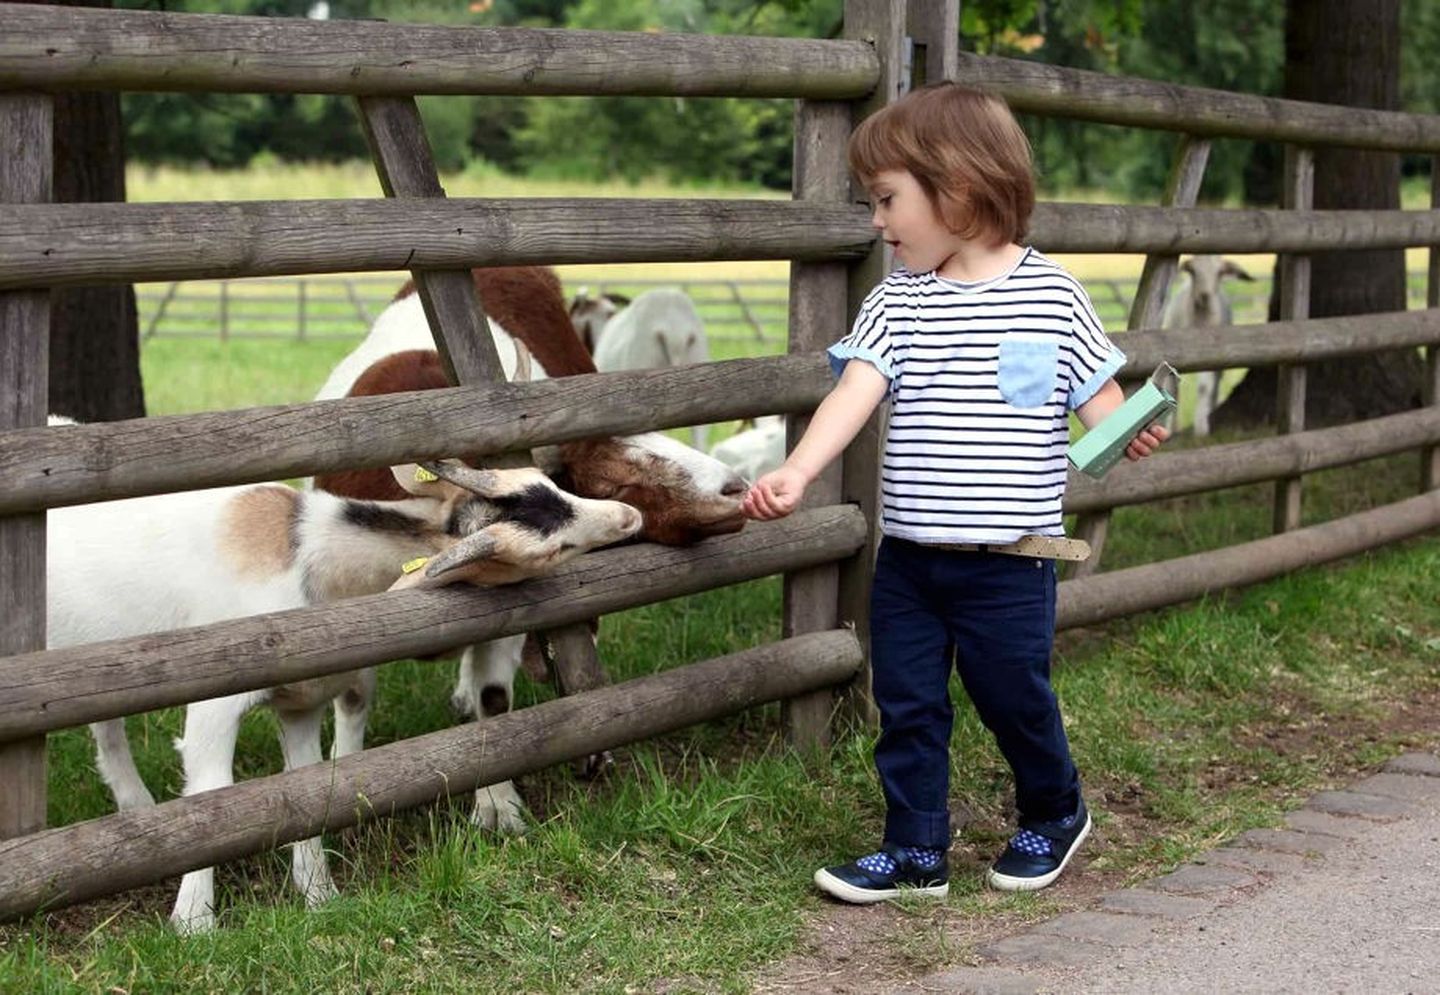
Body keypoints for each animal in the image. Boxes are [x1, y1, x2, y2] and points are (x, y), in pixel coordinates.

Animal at [311, 264, 748, 835]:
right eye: (610, 483)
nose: (736, 488)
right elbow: (352, 697)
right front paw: (346, 775)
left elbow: (493, 696)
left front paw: (497, 803)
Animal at [1157, 254, 1249, 434]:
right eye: (1193, 271)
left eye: (1220, 272)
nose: (1205, 296)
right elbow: (1173, 389)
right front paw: (1171, 428)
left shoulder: (1211, 356)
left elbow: (1204, 387)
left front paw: (1201, 428)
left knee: (1214, 388)